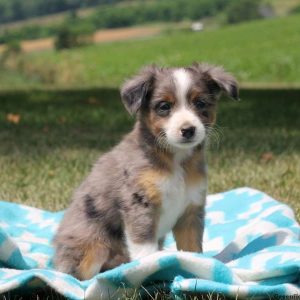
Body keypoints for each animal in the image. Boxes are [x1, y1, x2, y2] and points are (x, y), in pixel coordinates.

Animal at [52, 62, 238, 280]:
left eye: (200, 103)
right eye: (164, 106)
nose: (188, 130)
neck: (175, 160)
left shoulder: (191, 210)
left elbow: (191, 248)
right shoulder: (140, 204)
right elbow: (145, 249)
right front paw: (149, 268)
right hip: (95, 246)